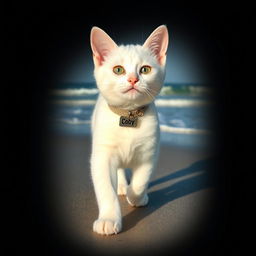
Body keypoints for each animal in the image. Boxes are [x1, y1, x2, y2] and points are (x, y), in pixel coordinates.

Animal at [89, 25, 168, 235]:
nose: (133, 79)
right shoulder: (102, 156)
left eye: (145, 69)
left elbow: (141, 181)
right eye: (118, 70)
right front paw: (108, 218)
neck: (129, 116)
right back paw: (121, 184)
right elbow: (106, 189)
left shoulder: (150, 152)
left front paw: (137, 196)